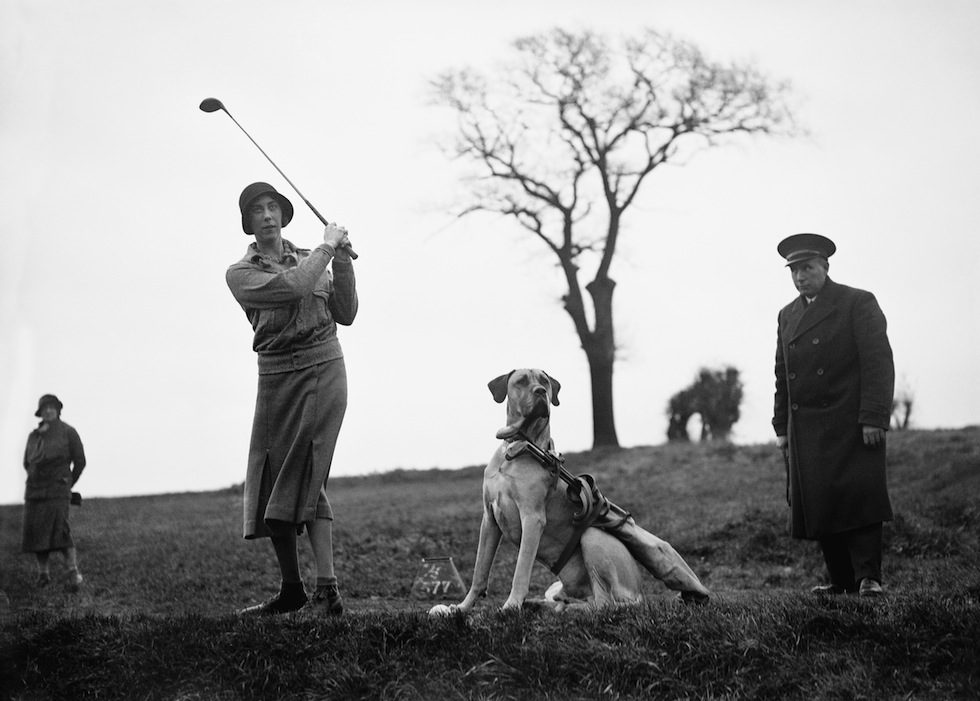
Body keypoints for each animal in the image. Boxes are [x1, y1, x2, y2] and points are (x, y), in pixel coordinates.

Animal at [440, 366, 708, 612]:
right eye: (522, 381)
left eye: (545, 382)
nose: (540, 392)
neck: (519, 446)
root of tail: (640, 594)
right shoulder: (489, 519)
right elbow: (479, 572)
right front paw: (462, 607)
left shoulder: (532, 518)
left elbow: (521, 570)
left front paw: (511, 605)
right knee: (577, 599)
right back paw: (545, 604)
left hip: (592, 538)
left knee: (603, 603)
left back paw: (564, 609)